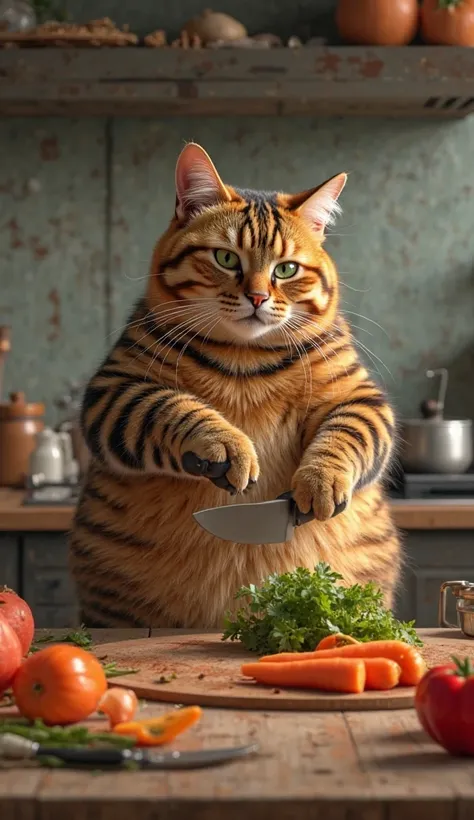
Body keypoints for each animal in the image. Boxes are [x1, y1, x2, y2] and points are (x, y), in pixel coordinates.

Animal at [70, 143, 400, 628]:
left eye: (286, 269)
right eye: (226, 259)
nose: (258, 297)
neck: (245, 357)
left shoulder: (358, 397)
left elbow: (346, 436)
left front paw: (320, 481)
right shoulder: (115, 390)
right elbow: (174, 407)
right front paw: (226, 444)